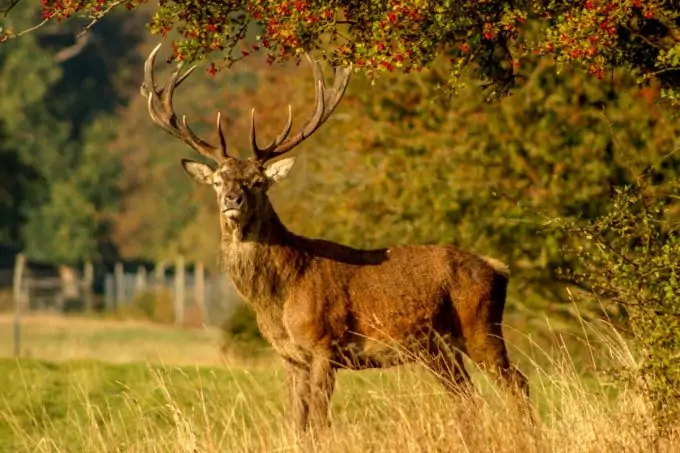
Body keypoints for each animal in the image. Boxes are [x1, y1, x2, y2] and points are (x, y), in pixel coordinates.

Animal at [139, 43, 532, 434]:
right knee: (469, 398)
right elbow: (297, 422)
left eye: (258, 182)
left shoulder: (324, 345)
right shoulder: (290, 357)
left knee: (517, 384)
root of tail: (498, 268)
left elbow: (319, 421)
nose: (232, 200)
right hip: (437, 348)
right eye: (219, 180)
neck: (278, 297)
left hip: (480, 327)